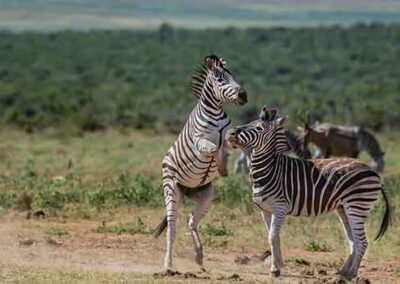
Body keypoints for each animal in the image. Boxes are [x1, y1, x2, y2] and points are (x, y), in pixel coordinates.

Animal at [153, 53, 247, 270]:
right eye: (220, 79)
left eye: (233, 76)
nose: (243, 95)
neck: (216, 112)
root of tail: (186, 190)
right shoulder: (199, 142)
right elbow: (213, 148)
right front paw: (221, 167)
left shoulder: (228, 141)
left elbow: (228, 141)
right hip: (172, 190)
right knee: (172, 229)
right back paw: (168, 265)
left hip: (205, 196)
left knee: (191, 221)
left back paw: (198, 255)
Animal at [227, 106, 392, 280]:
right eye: (249, 122)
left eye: (258, 128)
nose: (230, 133)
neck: (269, 169)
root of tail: (373, 172)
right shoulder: (264, 210)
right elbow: (273, 237)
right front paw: (278, 266)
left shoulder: (280, 208)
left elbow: (272, 237)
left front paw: (275, 269)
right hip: (344, 208)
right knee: (353, 241)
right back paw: (342, 272)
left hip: (357, 205)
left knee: (362, 242)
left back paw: (351, 274)